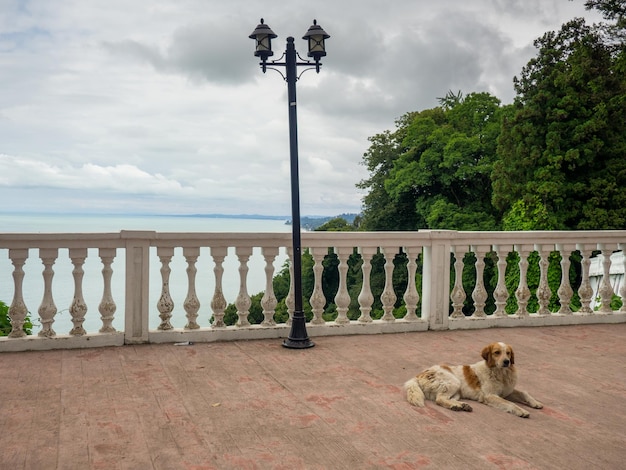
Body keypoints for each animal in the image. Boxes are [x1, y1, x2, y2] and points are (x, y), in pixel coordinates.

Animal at [404, 342, 540, 418]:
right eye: (497, 352)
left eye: (508, 353)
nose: (506, 362)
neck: (501, 374)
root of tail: (418, 375)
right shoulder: (490, 396)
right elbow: (510, 404)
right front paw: (521, 411)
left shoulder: (507, 391)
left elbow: (524, 392)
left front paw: (535, 403)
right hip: (454, 382)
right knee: (440, 399)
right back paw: (456, 406)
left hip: (457, 391)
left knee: (447, 399)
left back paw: (460, 405)